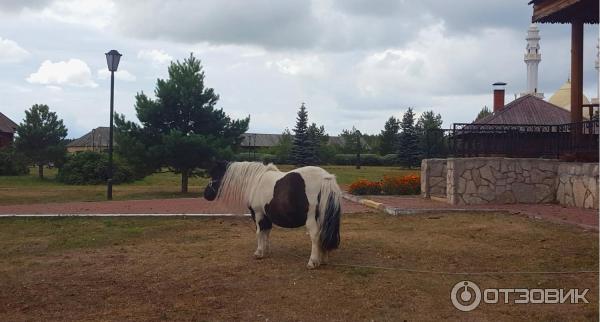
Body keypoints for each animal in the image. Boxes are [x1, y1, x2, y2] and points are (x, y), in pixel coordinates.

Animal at [203, 161, 340, 270]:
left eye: (215, 174)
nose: (206, 194)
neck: (255, 181)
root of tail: (325, 177)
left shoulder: (258, 214)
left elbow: (259, 232)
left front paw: (259, 252)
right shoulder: (266, 215)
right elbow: (267, 232)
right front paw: (266, 250)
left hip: (311, 219)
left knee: (315, 236)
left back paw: (312, 262)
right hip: (322, 217)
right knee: (323, 234)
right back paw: (323, 260)